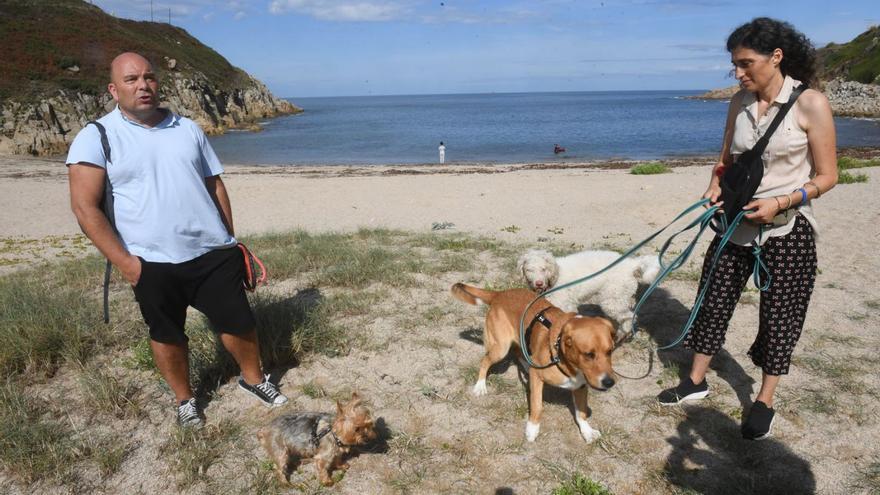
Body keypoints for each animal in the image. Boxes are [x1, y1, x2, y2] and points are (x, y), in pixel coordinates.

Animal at [450, 284, 616, 444]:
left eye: (610, 351)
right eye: (589, 354)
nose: (609, 382)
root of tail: (499, 294)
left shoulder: (581, 386)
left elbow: (581, 413)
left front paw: (587, 431)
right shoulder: (538, 377)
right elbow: (537, 406)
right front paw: (532, 429)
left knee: (518, 352)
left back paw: (526, 365)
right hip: (500, 349)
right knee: (485, 361)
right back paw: (480, 385)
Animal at [516, 250, 660, 336]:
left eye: (543, 269)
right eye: (529, 270)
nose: (539, 283)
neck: (555, 276)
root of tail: (632, 264)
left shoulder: (566, 306)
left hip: (613, 300)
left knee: (630, 318)